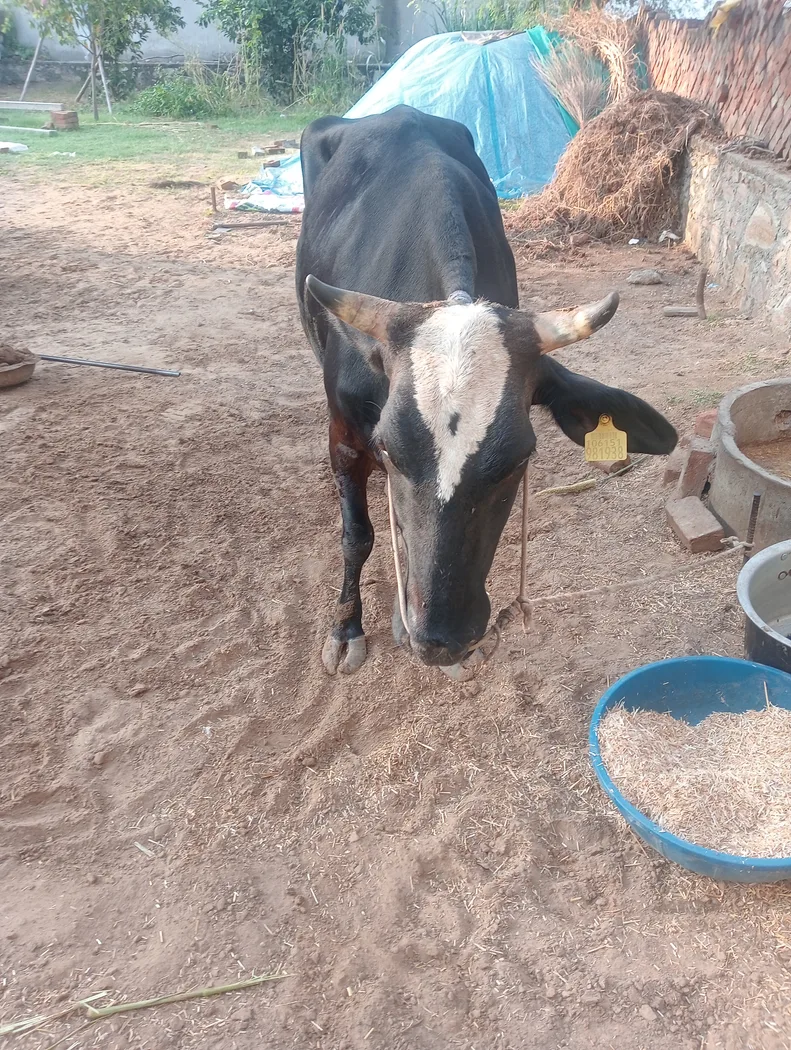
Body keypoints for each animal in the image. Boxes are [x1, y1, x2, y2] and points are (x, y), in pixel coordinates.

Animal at [296, 105, 677, 676]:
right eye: (388, 450)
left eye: (519, 460)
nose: (442, 640)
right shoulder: (344, 432)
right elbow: (357, 536)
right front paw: (346, 628)